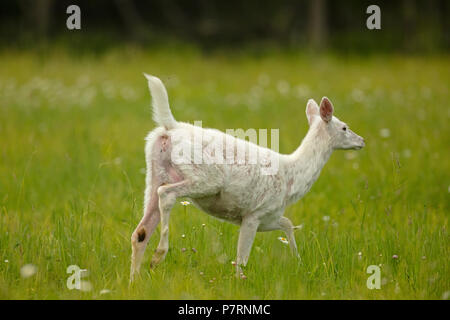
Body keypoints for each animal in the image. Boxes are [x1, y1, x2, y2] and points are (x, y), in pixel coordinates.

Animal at [128, 74, 364, 280]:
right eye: (345, 127)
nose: (362, 141)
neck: (292, 179)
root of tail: (171, 127)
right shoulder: (254, 213)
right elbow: (241, 259)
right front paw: (240, 281)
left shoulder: (268, 215)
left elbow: (288, 223)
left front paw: (298, 262)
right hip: (205, 178)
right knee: (166, 195)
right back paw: (159, 255)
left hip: (155, 172)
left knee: (140, 231)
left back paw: (135, 281)